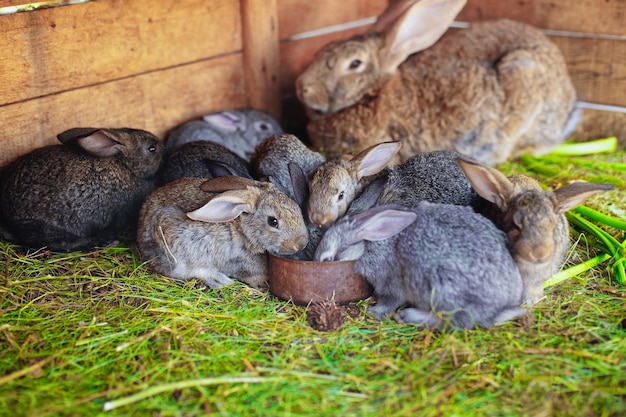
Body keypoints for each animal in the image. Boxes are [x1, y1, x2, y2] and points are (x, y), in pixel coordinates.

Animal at [314, 202, 524, 328]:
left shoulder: (391, 286)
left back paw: (408, 316)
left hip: (441, 291)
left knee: (454, 322)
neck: (369, 244)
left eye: (328, 259)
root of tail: (498, 308)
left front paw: (374, 312)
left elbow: (389, 302)